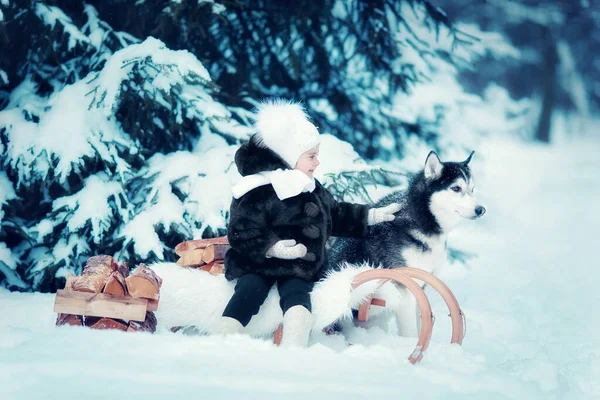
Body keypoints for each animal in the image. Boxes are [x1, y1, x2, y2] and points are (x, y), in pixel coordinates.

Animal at [326, 152, 486, 336]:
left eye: (472, 189)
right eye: (456, 188)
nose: (481, 209)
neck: (422, 219)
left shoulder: (422, 286)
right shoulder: (405, 290)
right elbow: (410, 330)